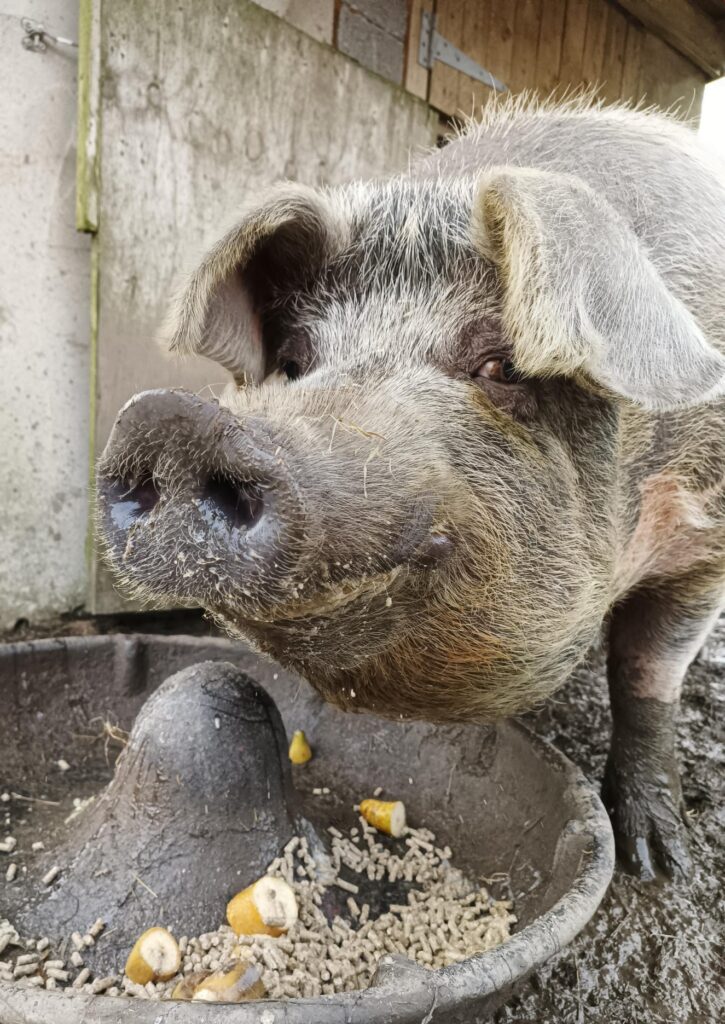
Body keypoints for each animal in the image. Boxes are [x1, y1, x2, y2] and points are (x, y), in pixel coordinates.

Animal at [97, 96, 725, 883]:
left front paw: (658, 863)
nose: (177, 422)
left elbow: (648, 673)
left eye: (501, 365)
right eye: (296, 362)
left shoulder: (705, 541)